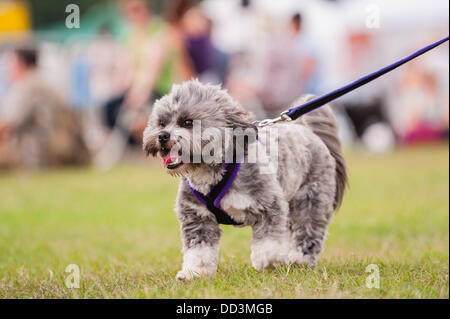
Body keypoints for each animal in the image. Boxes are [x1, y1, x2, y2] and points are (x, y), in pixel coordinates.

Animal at [142, 80, 346, 282]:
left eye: (187, 122)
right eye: (161, 123)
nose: (162, 136)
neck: (212, 170)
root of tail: (306, 130)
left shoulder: (269, 206)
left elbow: (269, 243)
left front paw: (269, 262)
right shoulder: (197, 216)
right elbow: (199, 250)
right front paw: (195, 272)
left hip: (311, 200)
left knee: (308, 230)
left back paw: (299, 260)